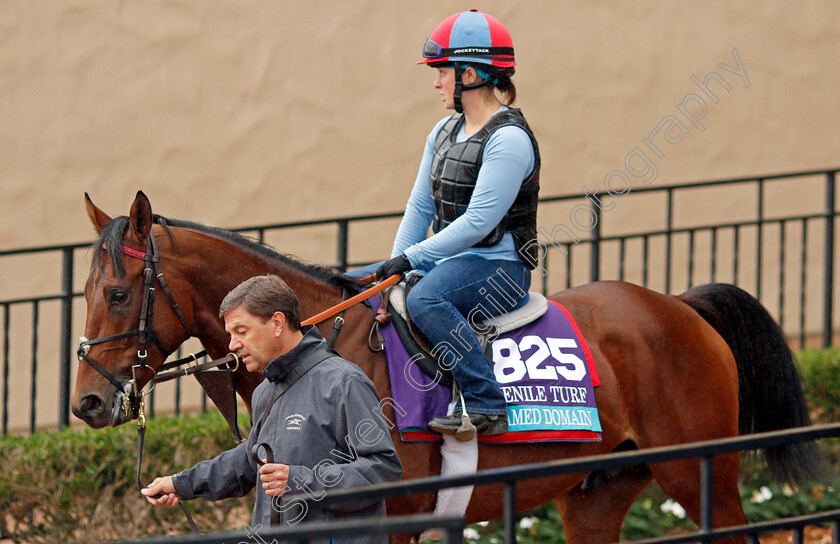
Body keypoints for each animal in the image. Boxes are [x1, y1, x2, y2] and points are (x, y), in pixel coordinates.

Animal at [70, 189, 820, 540]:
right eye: (84, 292)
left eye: (118, 293)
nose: (87, 403)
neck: (323, 342)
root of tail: (679, 307)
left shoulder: (394, 516)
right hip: (598, 493)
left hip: (704, 476)